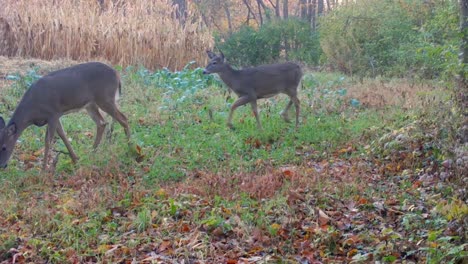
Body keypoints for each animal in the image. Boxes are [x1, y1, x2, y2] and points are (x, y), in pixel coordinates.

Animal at [0, 62, 131, 171]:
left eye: (4, 147)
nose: (2, 166)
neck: (32, 111)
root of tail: (117, 75)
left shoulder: (52, 113)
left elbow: (48, 141)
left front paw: (43, 170)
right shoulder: (54, 116)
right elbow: (63, 135)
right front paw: (75, 159)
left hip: (105, 98)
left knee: (123, 119)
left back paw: (129, 147)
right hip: (91, 104)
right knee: (102, 123)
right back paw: (91, 153)